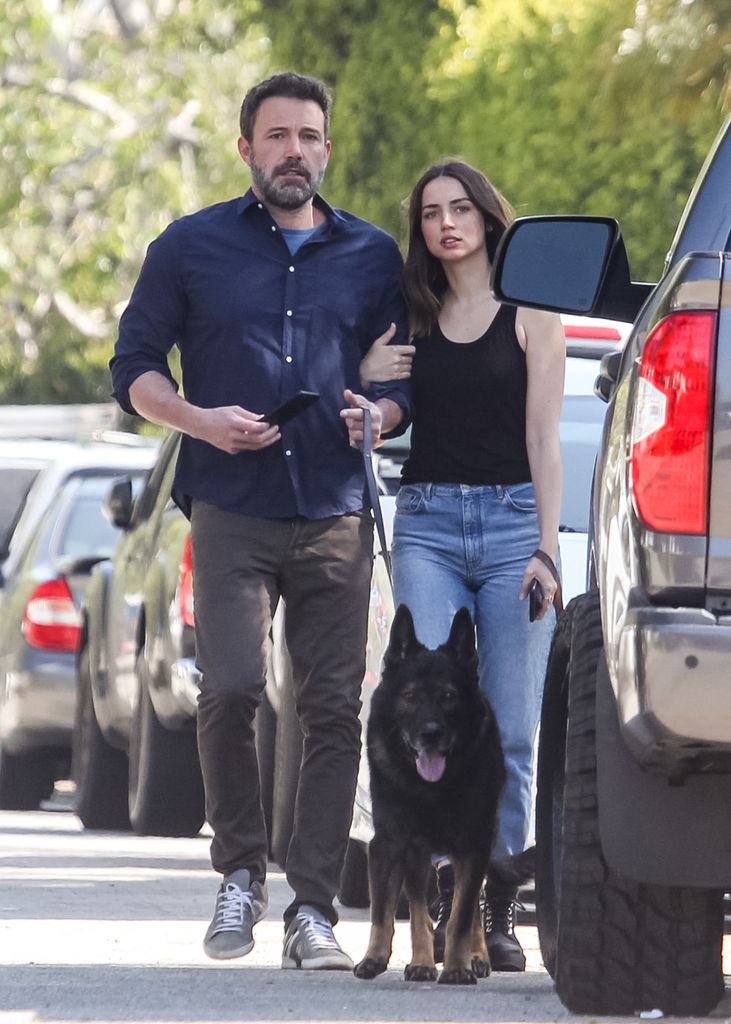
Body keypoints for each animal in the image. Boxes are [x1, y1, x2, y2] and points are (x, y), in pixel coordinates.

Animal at [352, 606, 501, 983]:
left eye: (448, 697)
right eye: (410, 697)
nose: (430, 733)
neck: (430, 789)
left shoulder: (473, 845)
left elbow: (461, 917)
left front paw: (458, 966)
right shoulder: (395, 844)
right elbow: (392, 913)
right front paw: (382, 959)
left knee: (472, 906)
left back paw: (476, 956)